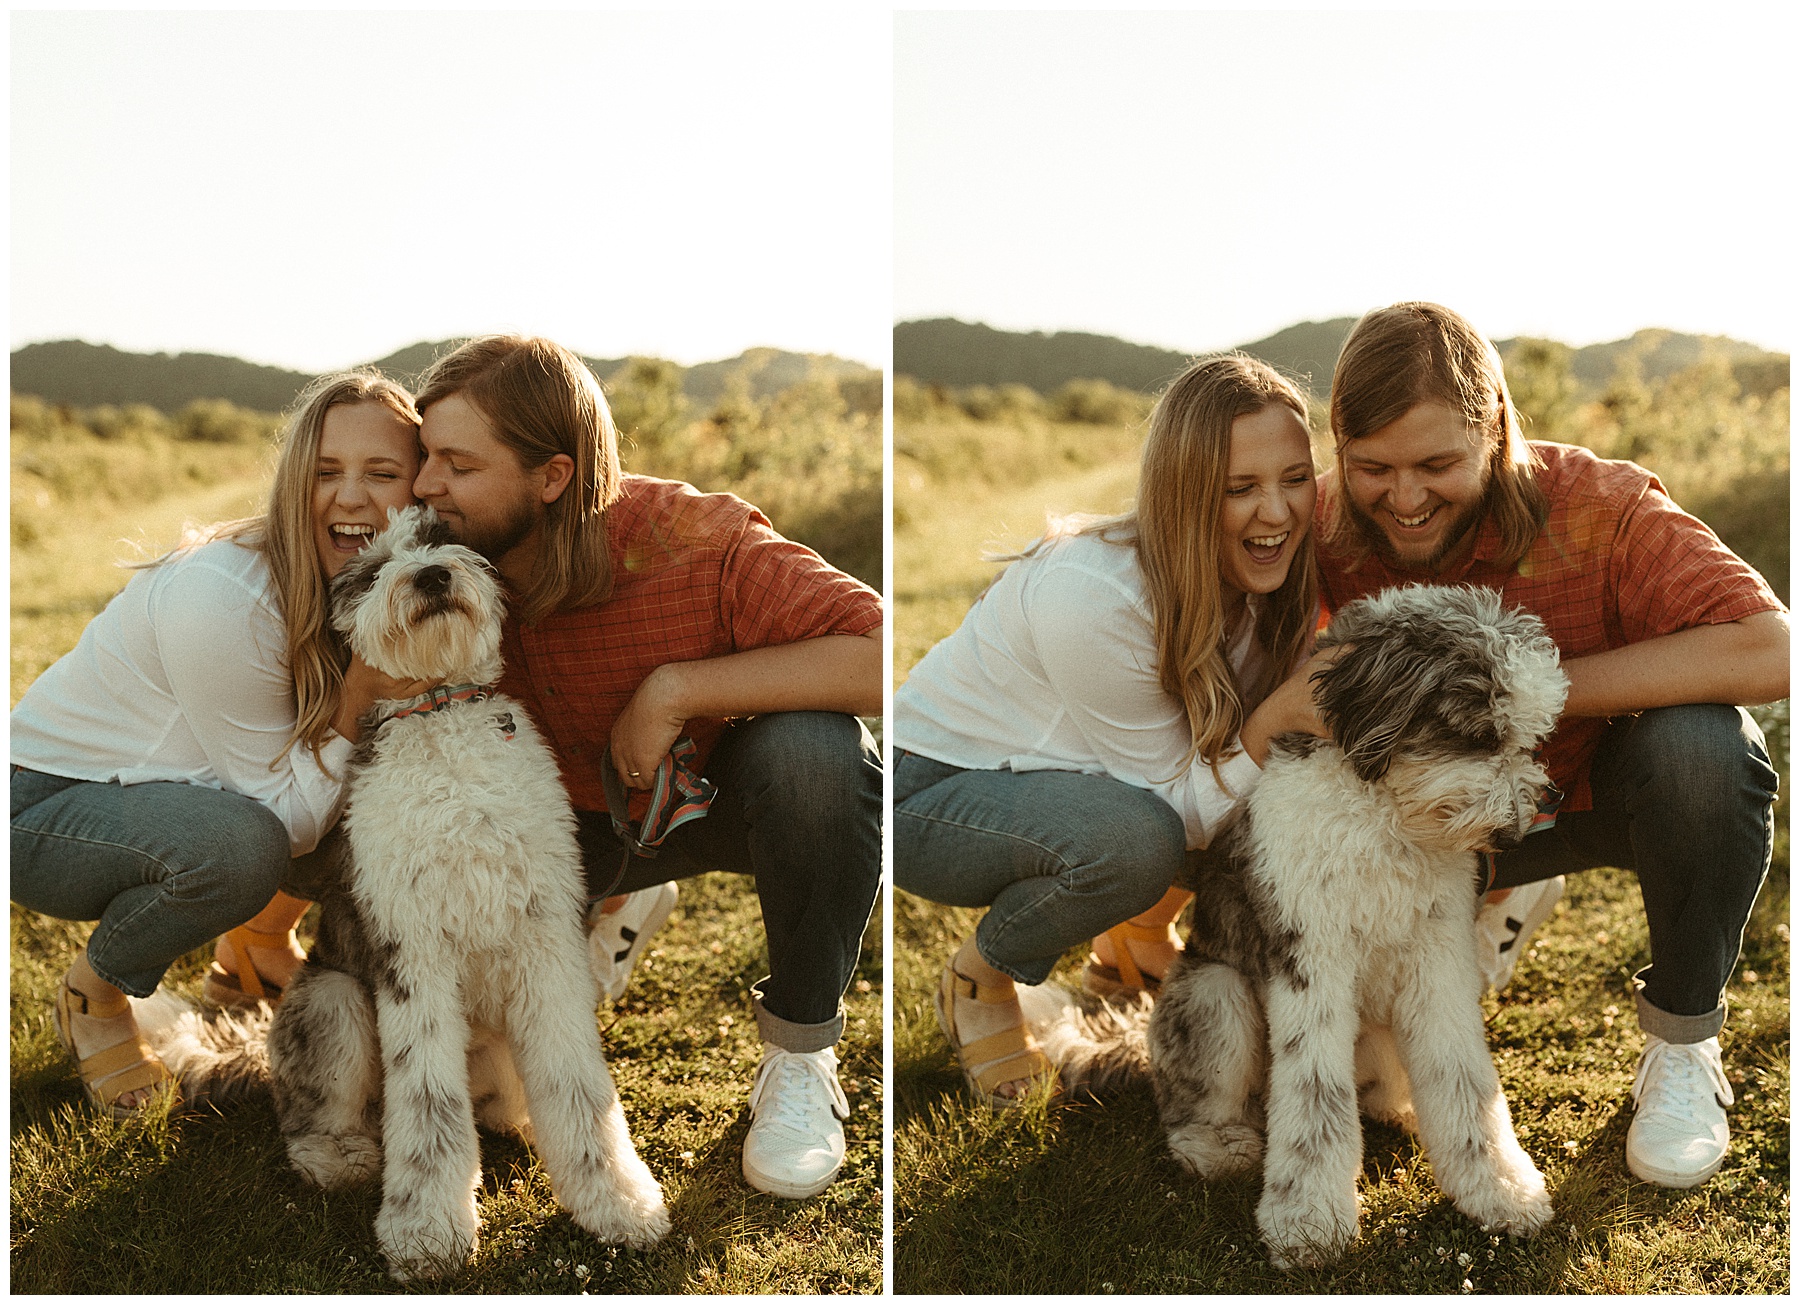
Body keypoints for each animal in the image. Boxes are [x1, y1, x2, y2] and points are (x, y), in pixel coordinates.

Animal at [145, 504, 669, 1274]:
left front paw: (620, 1203)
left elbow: (578, 1084)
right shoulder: (411, 953)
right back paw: (340, 1155)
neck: (440, 710)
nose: (430, 576)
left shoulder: (545, 940)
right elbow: (427, 1103)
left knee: (509, 1098)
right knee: (320, 1115)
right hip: (330, 998)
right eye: (367, 570)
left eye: (443, 537)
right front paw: (425, 1230)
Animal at [1036, 586, 1569, 1267]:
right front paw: (1308, 1220)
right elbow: (1316, 1096)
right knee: (1195, 1110)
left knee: (1386, 1090)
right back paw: (1220, 1146)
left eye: (1528, 739)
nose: (1519, 826)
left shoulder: (1438, 957)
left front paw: (1500, 1190)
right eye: (1477, 735)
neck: (1383, 819)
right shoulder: (1309, 957)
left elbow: (1463, 1079)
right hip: (1212, 992)